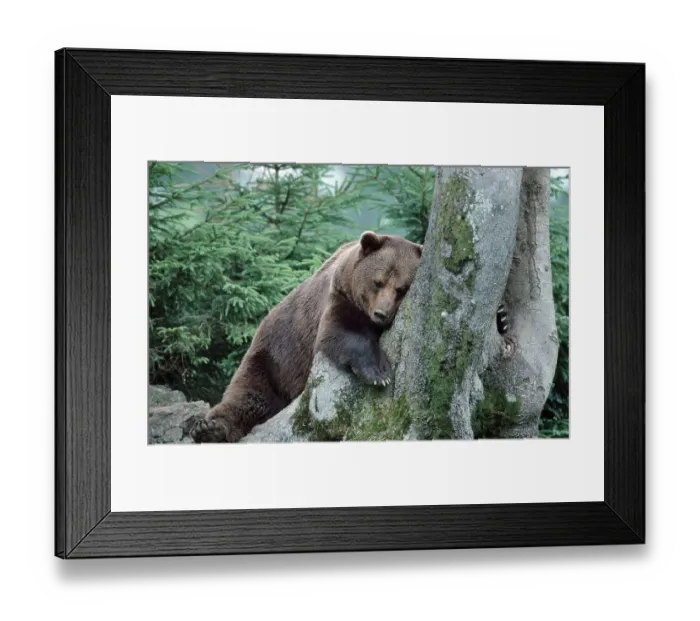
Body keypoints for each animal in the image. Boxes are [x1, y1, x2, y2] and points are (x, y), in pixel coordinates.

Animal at [190, 231, 423, 443]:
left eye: (401, 289)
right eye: (378, 282)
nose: (381, 313)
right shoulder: (339, 296)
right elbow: (340, 333)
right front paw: (378, 372)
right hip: (272, 358)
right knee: (249, 394)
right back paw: (209, 429)